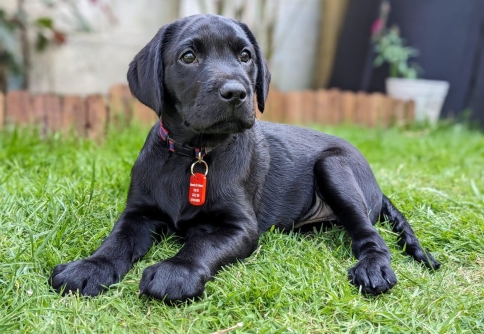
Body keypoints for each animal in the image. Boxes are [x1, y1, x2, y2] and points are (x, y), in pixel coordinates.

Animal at [49, 14, 438, 302]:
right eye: (188, 56)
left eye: (246, 56)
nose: (236, 92)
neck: (195, 155)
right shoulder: (138, 212)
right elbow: (116, 240)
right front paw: (90, 267)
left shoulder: (240, 227)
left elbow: (202, 244)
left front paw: (176, 272)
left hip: (335, 166)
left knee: (370, 234)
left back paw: (374, 269)